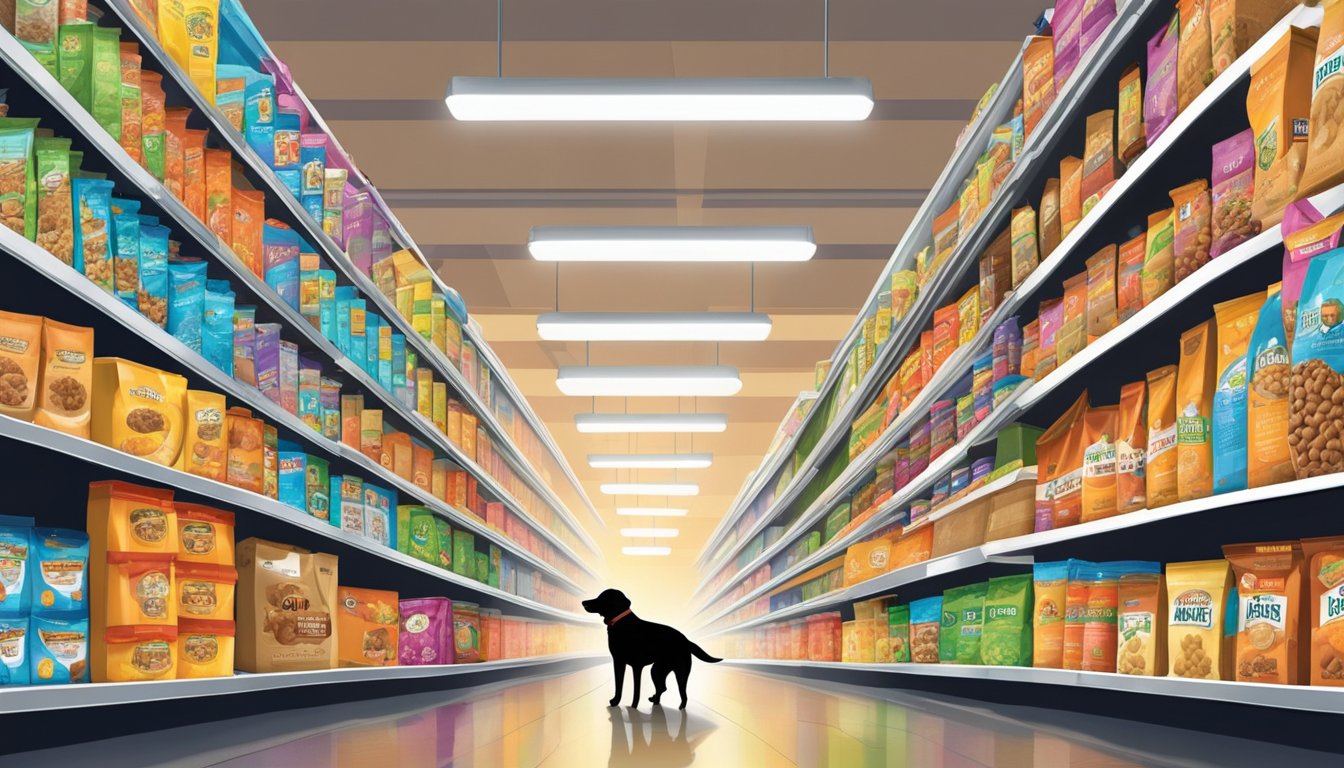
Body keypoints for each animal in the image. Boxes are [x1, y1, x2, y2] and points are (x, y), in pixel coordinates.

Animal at [583, 591, 720, 710]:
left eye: (602, 598)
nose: (583, 602)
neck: (621, 622)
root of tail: (686, 640)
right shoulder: (618, 662)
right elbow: (619, 684)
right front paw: (616, 701)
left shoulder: (636, 666)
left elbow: (636, 690)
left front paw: (633, 707)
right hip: (657, 670)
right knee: (662, 687)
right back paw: (655, 700)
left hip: (680, 672)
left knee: (682, 693)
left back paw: (680, 708)